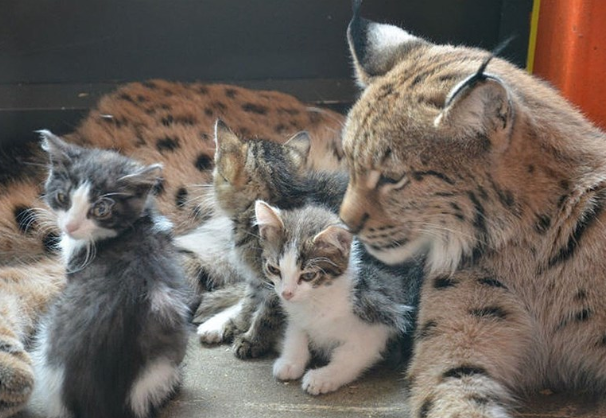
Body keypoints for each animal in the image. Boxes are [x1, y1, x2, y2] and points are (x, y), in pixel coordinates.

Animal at [254, 202, 420, 396]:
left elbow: (350, 354)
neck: (318, 297)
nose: (286, 293)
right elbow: (296, 331)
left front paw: (323, 377)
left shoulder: (383, 318)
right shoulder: (296, 313)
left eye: (308, 275)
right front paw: (290, 360)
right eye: (273, 269)